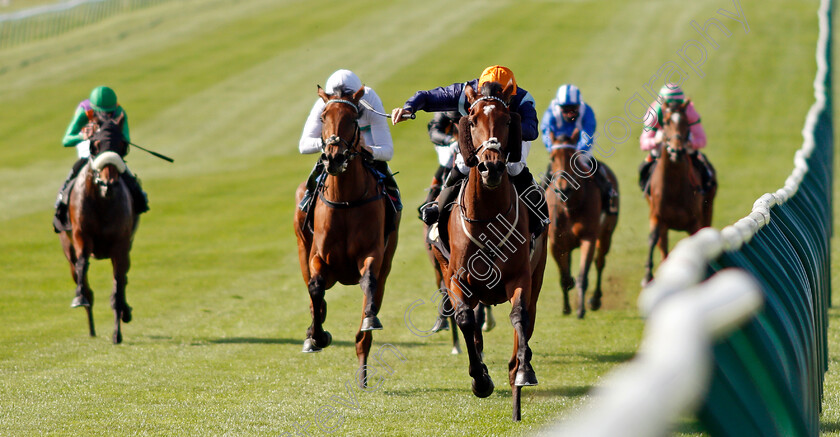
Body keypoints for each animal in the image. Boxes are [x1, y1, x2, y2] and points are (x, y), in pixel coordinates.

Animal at [58, 112, 136, 344]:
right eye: (96, 144)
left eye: (122, 145)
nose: (109, 184)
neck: (103, 201)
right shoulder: (81, 235)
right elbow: (83, 266)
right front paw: (80, 297)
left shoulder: (121, 245)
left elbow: (119, 284)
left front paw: (117, 333)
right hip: (67, 248)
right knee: (78, 272)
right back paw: (90, 323)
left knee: (122, 279)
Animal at [294, 84, 402, 384]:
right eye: (323, 117)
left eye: (353, 120)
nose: (334, 157)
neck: (345, 201)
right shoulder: (318, 256)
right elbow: (315, 288)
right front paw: (317, 336)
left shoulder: (372, 254)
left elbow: (369, 284)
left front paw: (368, 322)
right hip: (302, 248)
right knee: (313, 294)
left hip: (388, 260)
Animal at [430, 80, 548, 420]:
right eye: (472, 120)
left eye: (508, 120)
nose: (492, 166)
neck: (488, 217)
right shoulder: (456, 278)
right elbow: (465, 319)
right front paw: (480, 379)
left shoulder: (521, 276)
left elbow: (520, 315)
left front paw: (523, 371)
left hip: (538, 272)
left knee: (528, 316)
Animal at [544, 133, 616, 316]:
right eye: (552, 157)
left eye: (573, 157)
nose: (563, 188)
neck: (571, 206)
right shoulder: (556, 243)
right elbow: (564, 278)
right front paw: (566, 307)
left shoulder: (588, 238)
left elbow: (583, 275)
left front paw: (580, 309)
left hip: (606, 234)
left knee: (600, 262)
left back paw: (595, 300)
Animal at [644, 99, 716, 284]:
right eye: (666, 121)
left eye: (686, 123)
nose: (677, 150)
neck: (674, 189)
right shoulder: (657, 216)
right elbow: (653, 240)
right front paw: (648, 276)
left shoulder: (695, 222)